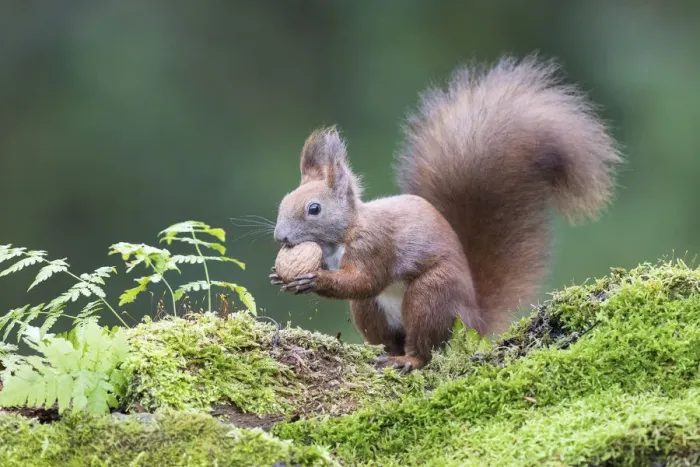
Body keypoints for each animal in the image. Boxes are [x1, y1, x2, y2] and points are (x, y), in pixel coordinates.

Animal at [269, 55, 622, 372]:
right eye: (283, 201)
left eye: (314, 208)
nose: (280, 237)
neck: (345, 234)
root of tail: (475, 322)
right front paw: (279, 275)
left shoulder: (375, 246)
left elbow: (363, 280)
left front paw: (313, 279)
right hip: (371, 312)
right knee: (388, 337)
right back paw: (385, 355)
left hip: (432, 296)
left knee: (425, 346)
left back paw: (408, 360)